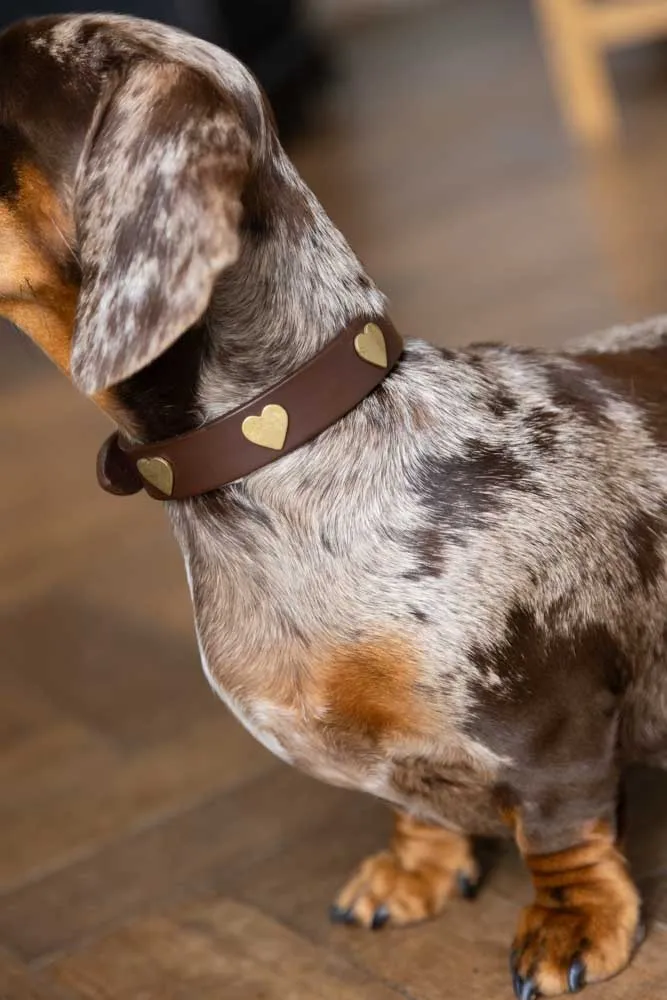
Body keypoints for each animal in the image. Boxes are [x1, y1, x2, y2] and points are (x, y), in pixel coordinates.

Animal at [1, 17, 667, 1000]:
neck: (297, 445)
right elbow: (416, 802)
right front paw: (415, 869)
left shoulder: (553, 730)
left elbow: (561, 831)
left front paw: (570, 923)